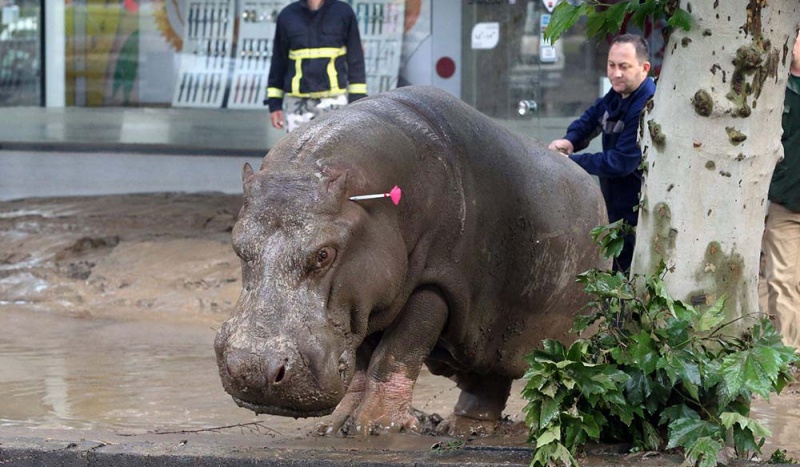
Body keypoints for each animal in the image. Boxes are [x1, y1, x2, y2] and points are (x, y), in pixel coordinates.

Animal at [214, 85, 608, 436]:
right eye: (237, 244)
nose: (252, 370)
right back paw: (462, 429)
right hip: (485, 332)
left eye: (324, 254)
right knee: (485, 379)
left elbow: (396, 351)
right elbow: (363, 360)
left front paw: (376, 427)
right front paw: (335, 426)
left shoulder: (433, 284)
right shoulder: (361, 304)